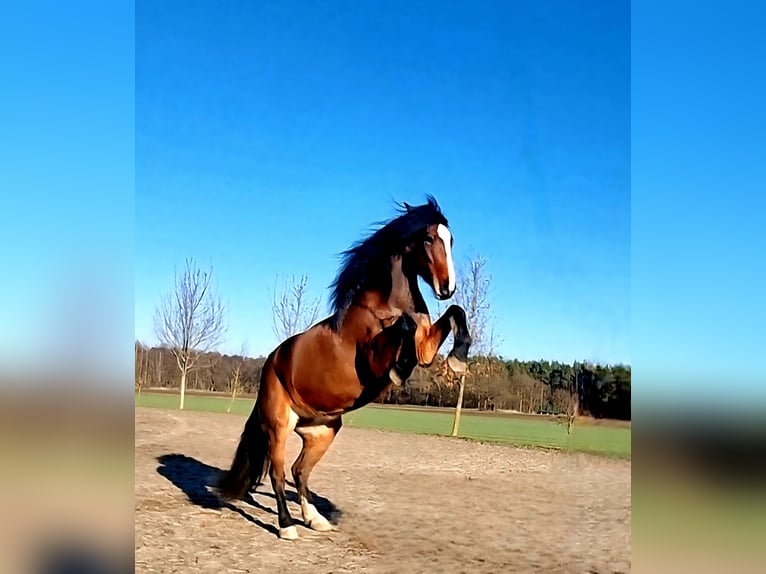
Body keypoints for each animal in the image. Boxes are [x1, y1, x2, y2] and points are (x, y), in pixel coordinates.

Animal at [216, 195, 472, 539]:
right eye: (429, 238)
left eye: (451, 240)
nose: (447, 288)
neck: (385, 306)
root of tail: (272, 362)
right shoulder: (374, 360)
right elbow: (403, 330)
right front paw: (400, 369)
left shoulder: (426, 347)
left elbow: (456, 313)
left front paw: (458, 359)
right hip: (279, 426)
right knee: (279, 473)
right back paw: (287, 527)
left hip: (323, 430)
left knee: (299, 471)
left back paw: (315, 520)